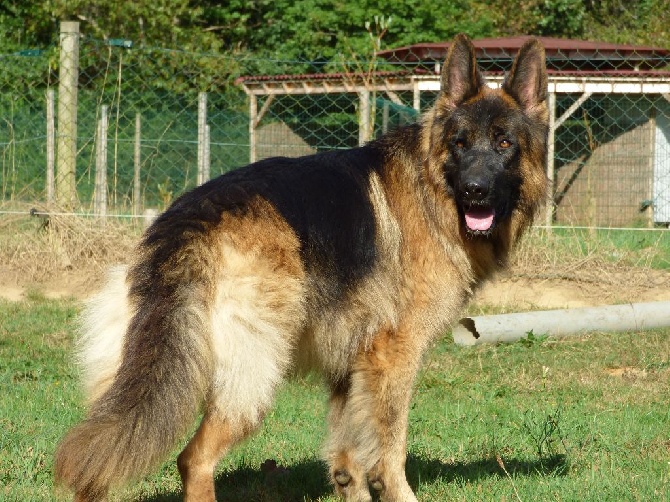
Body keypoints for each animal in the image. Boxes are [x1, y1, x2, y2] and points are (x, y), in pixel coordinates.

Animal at [56, 33, 552, 500]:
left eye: (504, 143)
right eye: (459, 144)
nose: (475, 191)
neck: (432, 188)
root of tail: (191, 221)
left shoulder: (351, 365)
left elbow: (347, 455)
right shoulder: (394, 358)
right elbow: (388, 450)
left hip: (134, 382)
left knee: (99, 459)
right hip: (255, 371)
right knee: (193, 460)